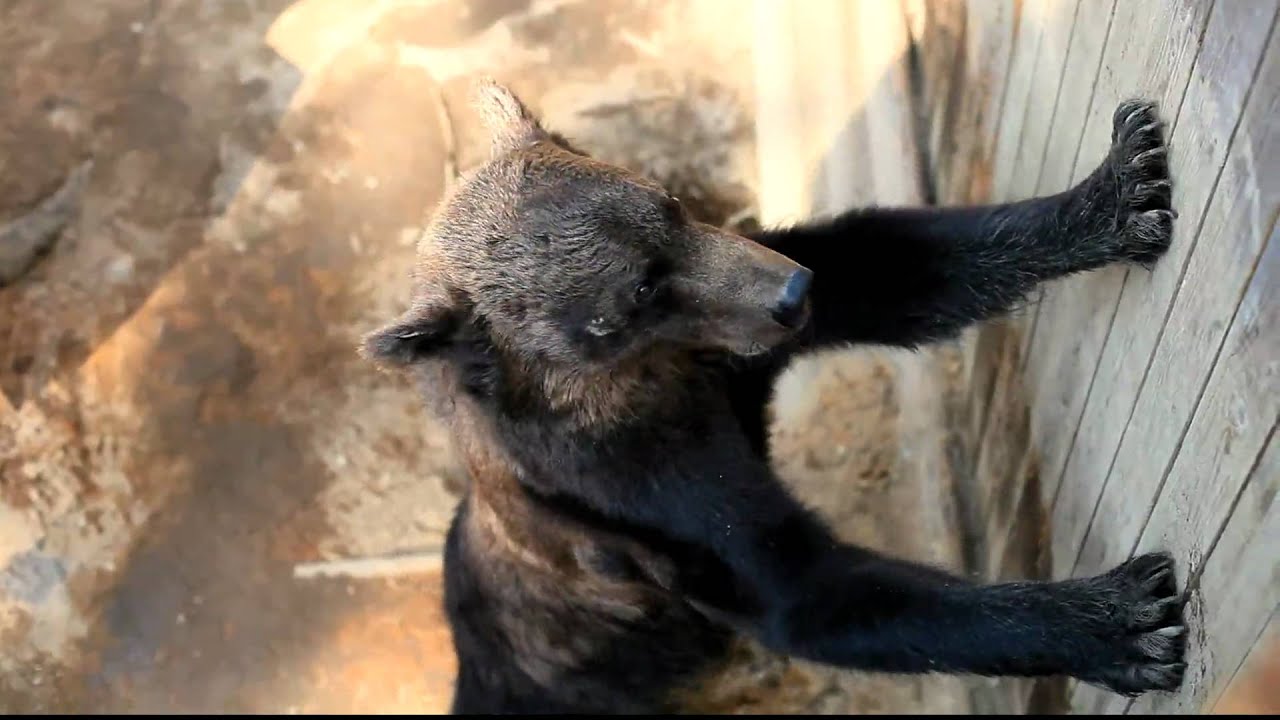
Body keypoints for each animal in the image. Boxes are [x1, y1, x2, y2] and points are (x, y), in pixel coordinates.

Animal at [362, 79, 1185, 714]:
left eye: (668, 203)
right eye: (637, 292)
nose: (791, 293)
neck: (653, 377)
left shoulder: (735, 339)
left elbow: (886, 261)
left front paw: (1119, 189)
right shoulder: (645, 487)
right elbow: (806, 590)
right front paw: (1122, 620)